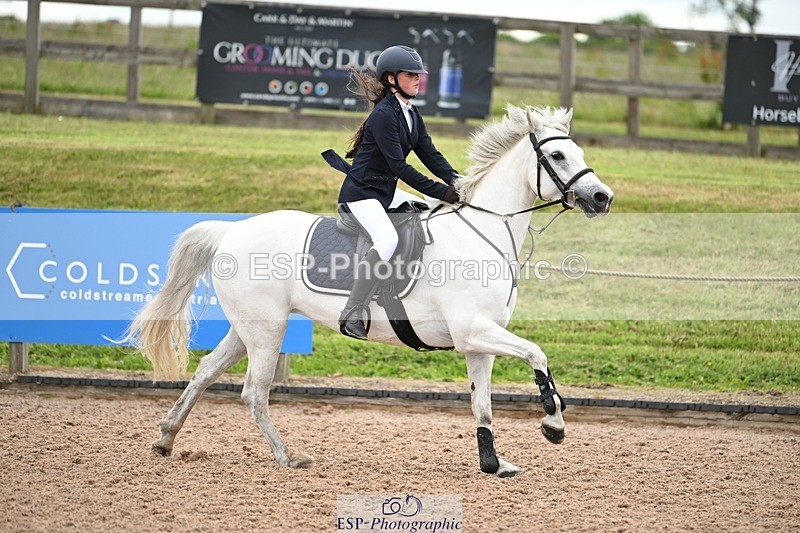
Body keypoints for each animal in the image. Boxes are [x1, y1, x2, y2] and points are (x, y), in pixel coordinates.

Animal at [125, 105, 614, 477]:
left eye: (579, 151)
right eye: (557, 154)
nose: (602, 198)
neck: (481, 233)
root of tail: (231, 230)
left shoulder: (479, 342)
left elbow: (483, 406)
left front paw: (493, 464)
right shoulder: (473, 330)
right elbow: (536, 353)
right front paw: (553, 424)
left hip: (248, 327)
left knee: (206, 372)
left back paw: (166, 439)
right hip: (266, 330)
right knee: (254, 392)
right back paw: (289, 457)